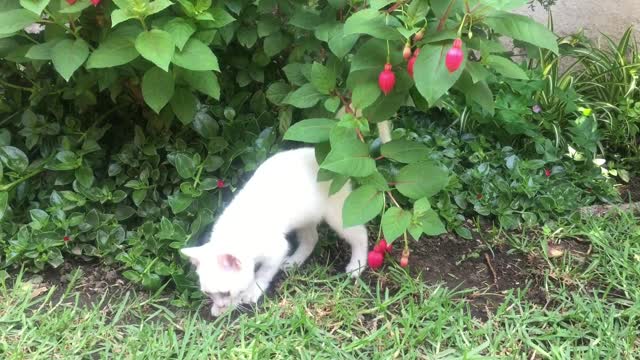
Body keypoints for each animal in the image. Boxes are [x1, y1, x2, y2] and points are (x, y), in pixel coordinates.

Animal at [180, 146, 370, 316]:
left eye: (226, 292)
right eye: (208, 293)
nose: (219, 306)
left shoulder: (277, 249)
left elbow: (263, 272)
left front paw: (252, 291)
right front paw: (221, 309)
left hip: (341, 213)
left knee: (360, 234)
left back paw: (357, 265)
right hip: (305, 217)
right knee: (311, 238)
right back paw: (294, 261)